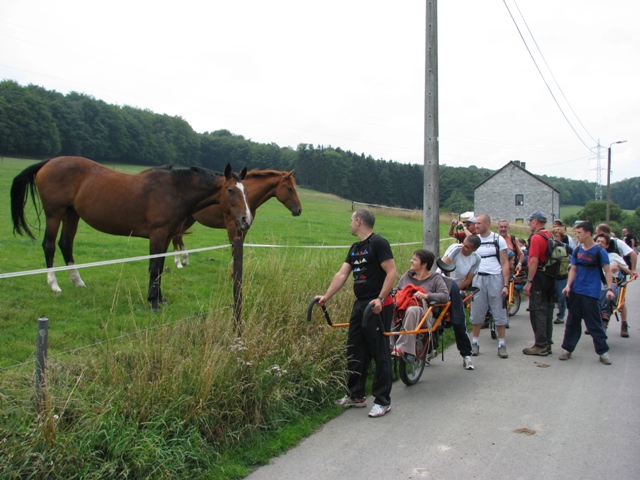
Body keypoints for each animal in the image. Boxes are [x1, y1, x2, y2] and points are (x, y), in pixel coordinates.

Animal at [11, 156, 252, 310]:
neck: (176, 189)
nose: (246, 220)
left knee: (66, 244)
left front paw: (160, 299)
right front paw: (153, 302)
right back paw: (54, 285)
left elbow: (161, 268)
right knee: (49, 245)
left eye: (246, 190)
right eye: (231, 190)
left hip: (72, 214)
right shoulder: (157, 234)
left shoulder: (166, 237)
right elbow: (154, 267)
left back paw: (77, 282)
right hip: (55, 213)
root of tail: (49, 162)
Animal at [171, 169, 304, 266]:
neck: (246, 199)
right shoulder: (232, 226)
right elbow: (233, 248)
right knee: (176, 237)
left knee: (179, 236)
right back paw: (178, 262)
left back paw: (185, 259)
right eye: (289, 188)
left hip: (190, 220)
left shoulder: (244, 227)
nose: (299, 210)